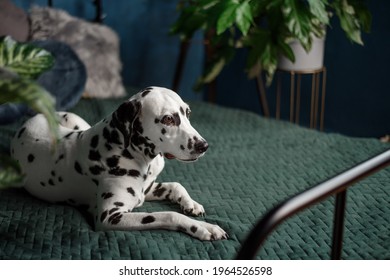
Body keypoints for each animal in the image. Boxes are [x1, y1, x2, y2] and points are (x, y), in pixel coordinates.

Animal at [10, 87, 227, 241]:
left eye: (187, 113)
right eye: (168, 119)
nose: (204, 145)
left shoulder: (147, 189)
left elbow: (176, 185)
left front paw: (191, 204)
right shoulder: (110, 217)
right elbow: (169, 215)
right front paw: (204, 228)